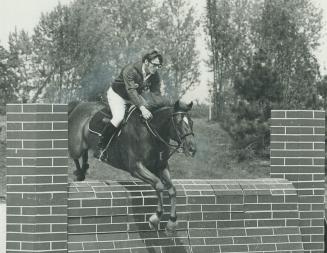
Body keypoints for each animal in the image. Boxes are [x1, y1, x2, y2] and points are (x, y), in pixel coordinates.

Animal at [68, 100, 197, 234]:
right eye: (178, 122)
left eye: (191, 122)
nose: (192, 149)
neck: (151, 133)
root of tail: (79, 105)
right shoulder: (136, 168)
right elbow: (158, 185)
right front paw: (155, 219)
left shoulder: (161, 167)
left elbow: (172, 190)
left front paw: (171, 224)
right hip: (76, 146)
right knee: (75, 156)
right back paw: (80, 174)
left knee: (84, 156)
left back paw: (83, 170)